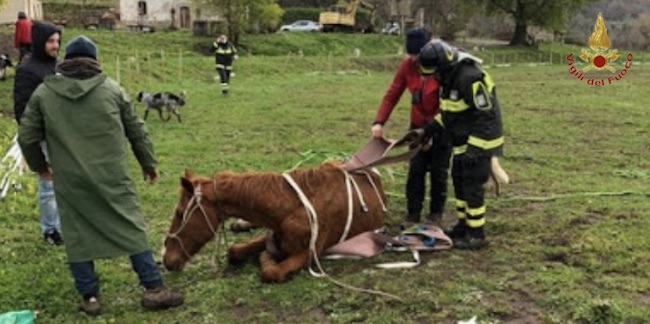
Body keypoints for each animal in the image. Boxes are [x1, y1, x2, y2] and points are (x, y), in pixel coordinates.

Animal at [161, 163, 384, 282]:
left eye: (180, 213)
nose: (166, 259)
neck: (291, 207)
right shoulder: (272, 234)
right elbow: (235, 251)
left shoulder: (310, 253)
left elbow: (272, 271)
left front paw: (266, 259)